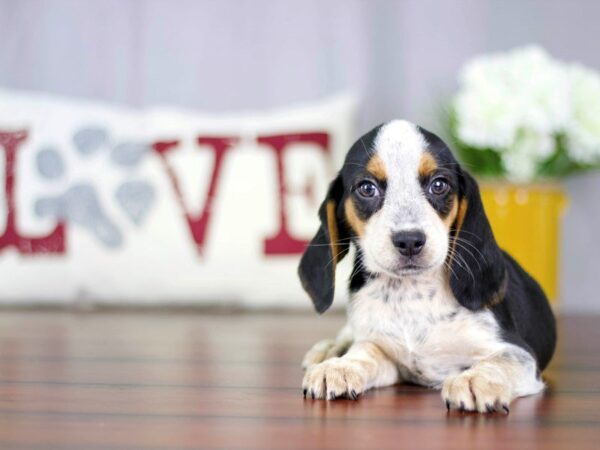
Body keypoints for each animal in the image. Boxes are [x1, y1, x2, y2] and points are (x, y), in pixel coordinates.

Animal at [300, 118, 556, 412]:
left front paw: (476, 379)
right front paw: (341, 366)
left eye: (439, 185)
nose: (409, 240)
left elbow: (499, 362)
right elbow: (364, 351)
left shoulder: (518, 353)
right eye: (366, 188)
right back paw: (329, 350)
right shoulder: (386, 354)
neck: (411, 295)